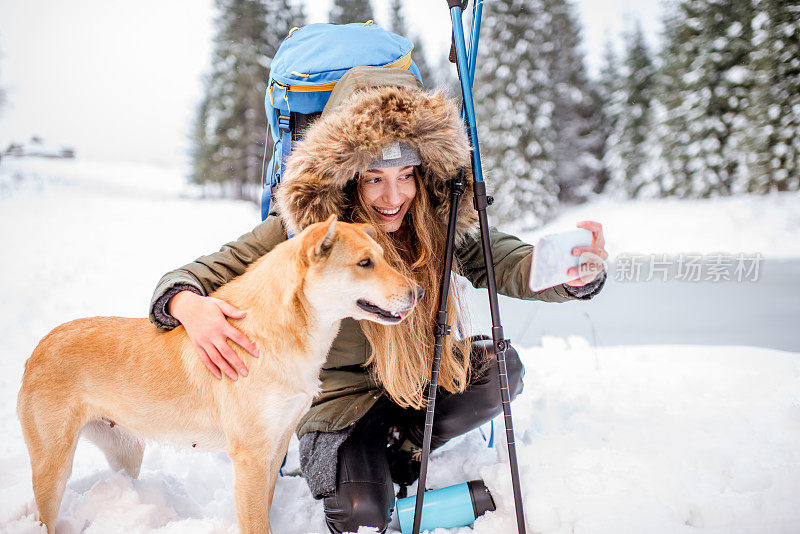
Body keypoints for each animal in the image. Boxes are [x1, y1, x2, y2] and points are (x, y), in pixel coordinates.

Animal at [15, 216, 422, 532]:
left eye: (384, 258)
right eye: (365, 263)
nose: (419, 292)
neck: (281, 331)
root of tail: (38, 348)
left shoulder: (274, 448)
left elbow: (263, 511)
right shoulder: (250, 455)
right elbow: (255, 522)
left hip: (126, 453)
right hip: (53, 468)